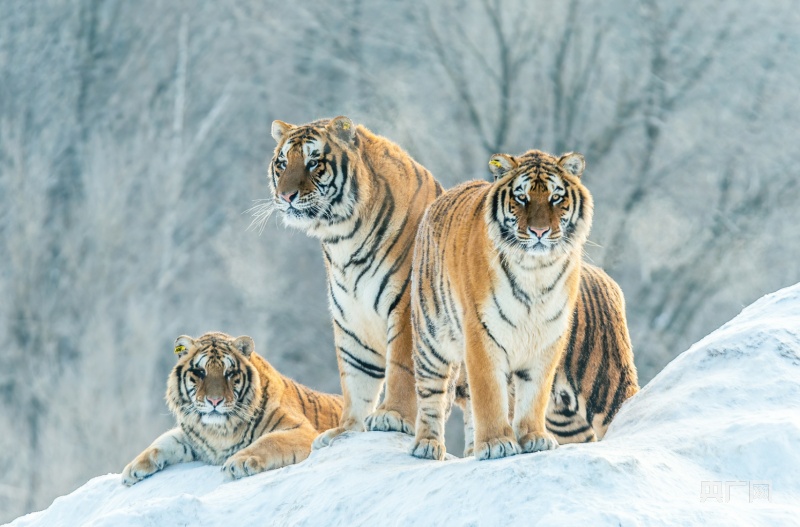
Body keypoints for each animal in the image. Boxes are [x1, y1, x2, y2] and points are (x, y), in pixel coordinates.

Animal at [121, 332, 340, 484]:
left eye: (229, 373)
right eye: (200, 372)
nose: (214, 401)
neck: (219, 430)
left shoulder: (300, 429)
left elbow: (269, 441)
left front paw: (239, 462)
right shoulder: (195, 438)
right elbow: (163, 441)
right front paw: (132, 469)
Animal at [262, 117, 440, 448]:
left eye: (313, 162)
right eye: (282, 163)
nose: (286, 196)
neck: (343, 235)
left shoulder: (406, 304)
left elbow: (402, 368)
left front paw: (392, 416)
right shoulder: (352, 316)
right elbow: (356, 377)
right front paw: (346, 430)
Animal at [410, 148, 636, 462]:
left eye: (556, 197)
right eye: (521, 197)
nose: (539, 231)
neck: (535, 271)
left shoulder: (548, 337)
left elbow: (533, 393)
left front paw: (533, 438)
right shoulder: (482, 334)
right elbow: (489, 395)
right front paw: (496, 443)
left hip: (601, 383)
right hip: (431, 338)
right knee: (431, 392)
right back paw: (428, 446)